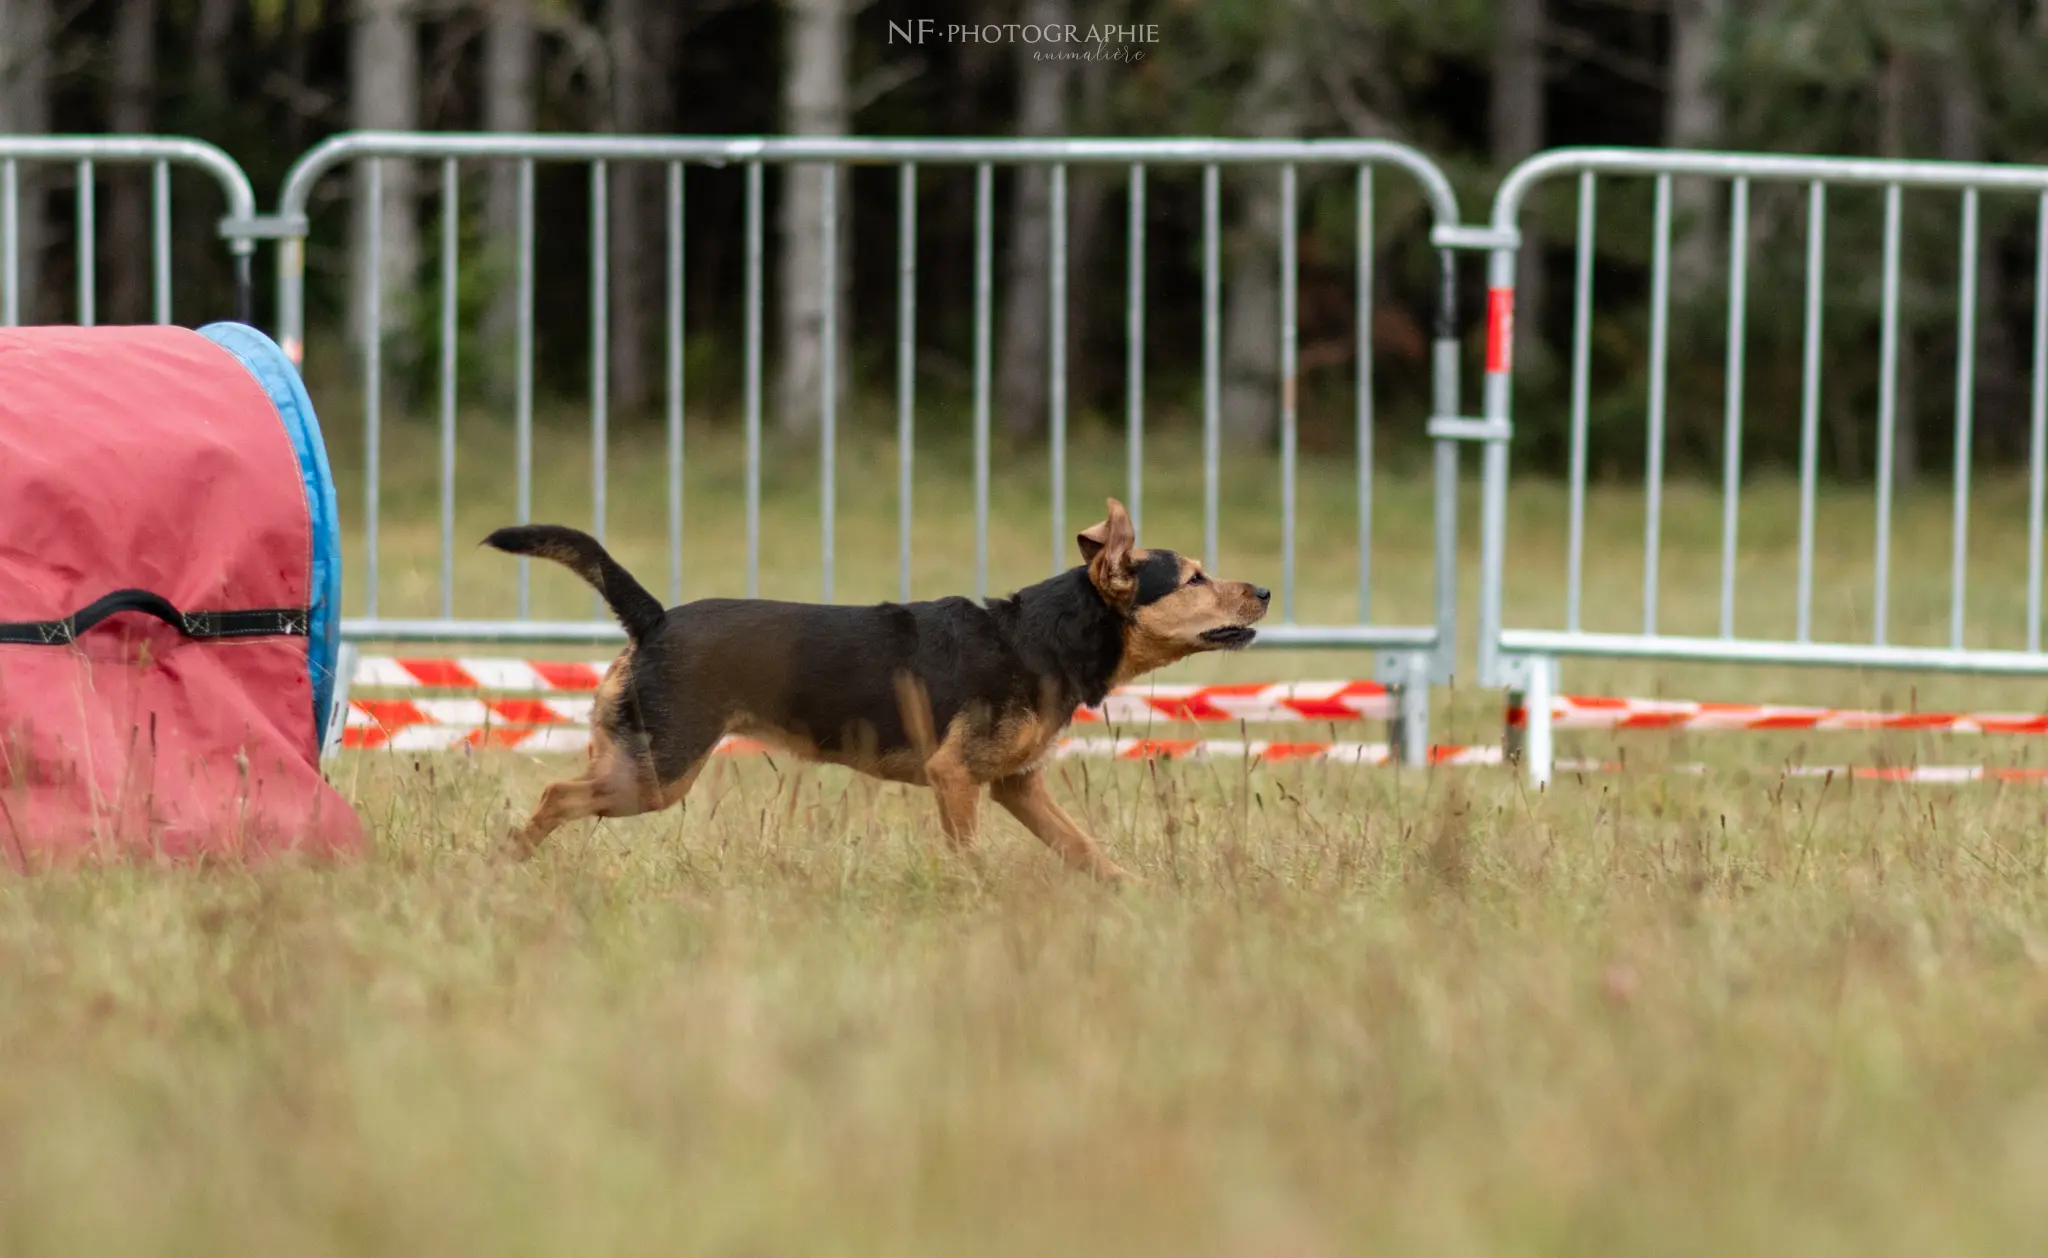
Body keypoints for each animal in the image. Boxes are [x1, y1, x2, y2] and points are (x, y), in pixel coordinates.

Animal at [487, 501, 1269, 889]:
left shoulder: (1015, 783)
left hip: (632, 755)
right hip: (659, 772)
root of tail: (654, 618)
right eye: (1195, 578)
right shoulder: (955, 777)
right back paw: (504, 865)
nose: (1263, 590)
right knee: (555, 795)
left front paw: (1134, 892)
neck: (1040, 636)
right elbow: (970, 854)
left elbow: (1082, 846)